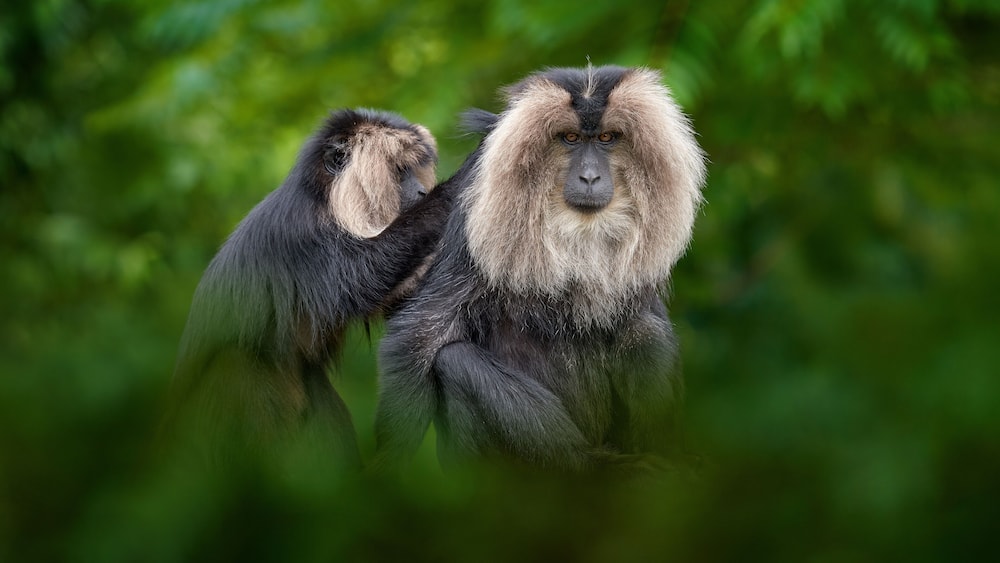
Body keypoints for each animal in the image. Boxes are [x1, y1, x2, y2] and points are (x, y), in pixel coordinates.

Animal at [165, 108, 462, 469]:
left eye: (413, 170)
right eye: (400, 171)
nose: (421, 192)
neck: (325, 202)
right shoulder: (299, 236)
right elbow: (361, 278)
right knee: (234, 365)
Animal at [372, 66, 707, 473]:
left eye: (607, 138)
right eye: (570, 138)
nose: (590, 177)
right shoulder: (473, 212)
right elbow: (420, 336)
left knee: (645, 332)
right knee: (455, 361)